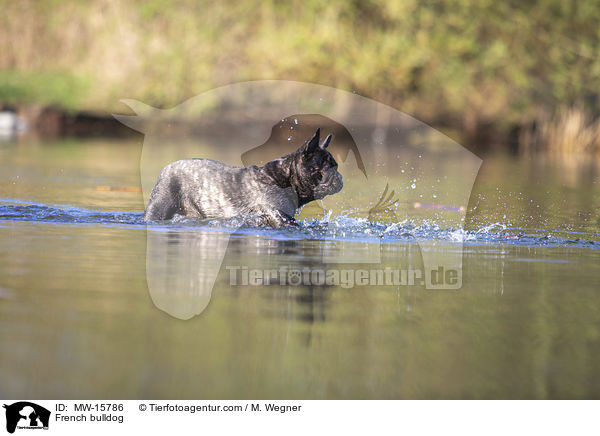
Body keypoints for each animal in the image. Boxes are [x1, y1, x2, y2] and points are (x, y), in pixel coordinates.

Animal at [142, 127, 342, 227]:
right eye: (326, 167)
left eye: (336, 166)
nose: (339, 176)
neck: (285, 177)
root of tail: (166, 168)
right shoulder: (278, 214)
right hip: (160, 206)